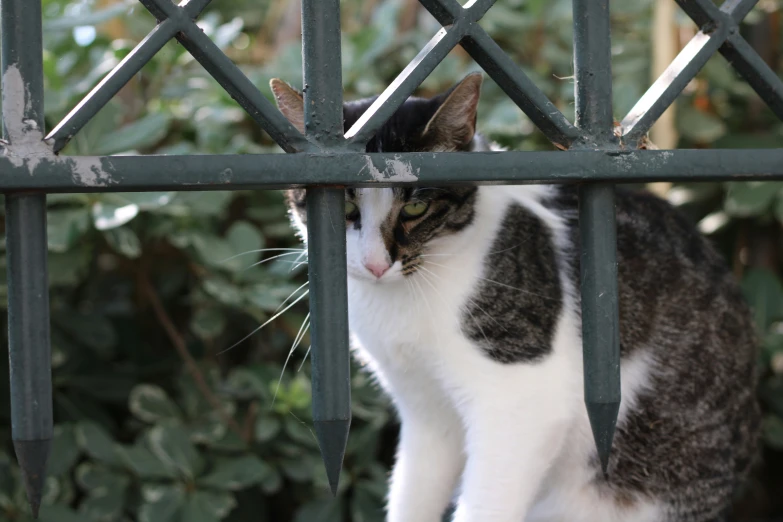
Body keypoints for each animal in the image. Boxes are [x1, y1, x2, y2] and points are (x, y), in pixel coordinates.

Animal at [270, 73, 760, 520]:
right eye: (346, 208)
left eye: (415, 207)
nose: (374, 264)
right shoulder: (427, 414)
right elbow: (415, 493)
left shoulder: (522, 403)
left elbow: (487, 502)